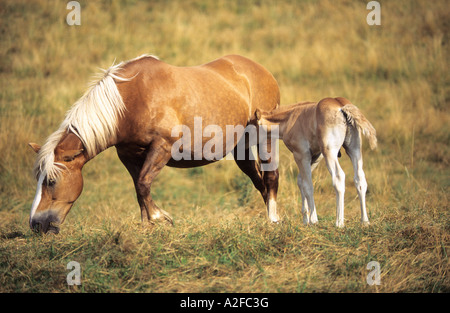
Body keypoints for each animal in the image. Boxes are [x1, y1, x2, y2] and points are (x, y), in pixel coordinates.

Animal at [28, 54, 280, 233]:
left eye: (51, 181)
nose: (35, 225)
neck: (130, 101)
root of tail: (264, 72)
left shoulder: (162, 147)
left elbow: (143, 184)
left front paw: (161, 218)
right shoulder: (128, 154)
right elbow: (139, 188)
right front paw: (146, 226)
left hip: (265, 137)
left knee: (270, 177)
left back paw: (273, 219)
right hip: (241, 147)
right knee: (258, 180)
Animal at [256, 96, 376, 225]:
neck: (290, 118)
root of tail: (341, 106)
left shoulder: (301, 155)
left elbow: (308, 185)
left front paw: (313, 220)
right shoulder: (316, 156)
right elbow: (301, 181)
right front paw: (305, 219)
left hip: (330, 153)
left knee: (338, 177)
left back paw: (339, 223)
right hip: (354, 150)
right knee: (360, 179)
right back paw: (365, 221)